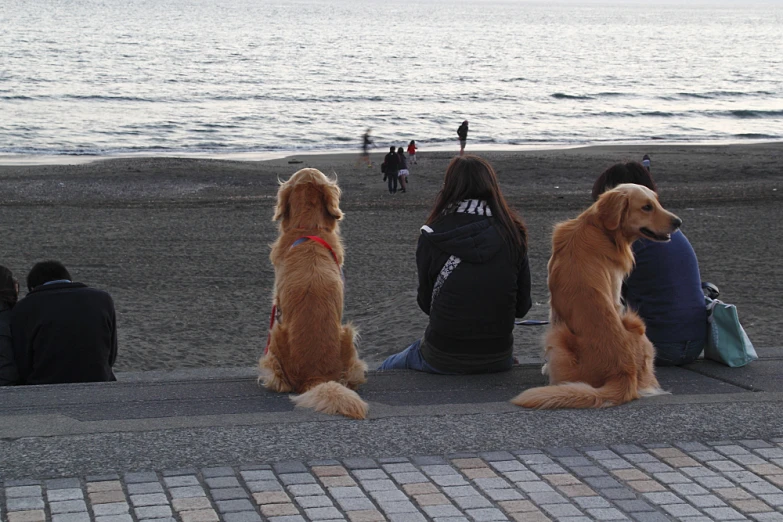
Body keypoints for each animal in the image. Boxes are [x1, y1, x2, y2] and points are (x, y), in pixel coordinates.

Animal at [512, 183, 684, 406]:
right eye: (647, 207)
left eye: (656, 202)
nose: (678, 222)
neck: (600, 229)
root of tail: (624, 373)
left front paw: (545, 366)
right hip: (637, 326)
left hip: (559, 337)